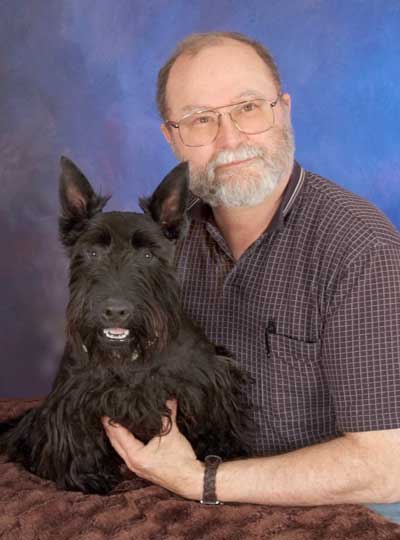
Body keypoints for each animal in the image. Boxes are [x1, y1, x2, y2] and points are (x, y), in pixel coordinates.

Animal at [0, 155, 250, 494]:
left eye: (147, 254)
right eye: (92, 251)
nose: (116, 311)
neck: (130, 359)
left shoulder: (207, 383)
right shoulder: (71, 397)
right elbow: (79, 440)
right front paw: (88, 477)